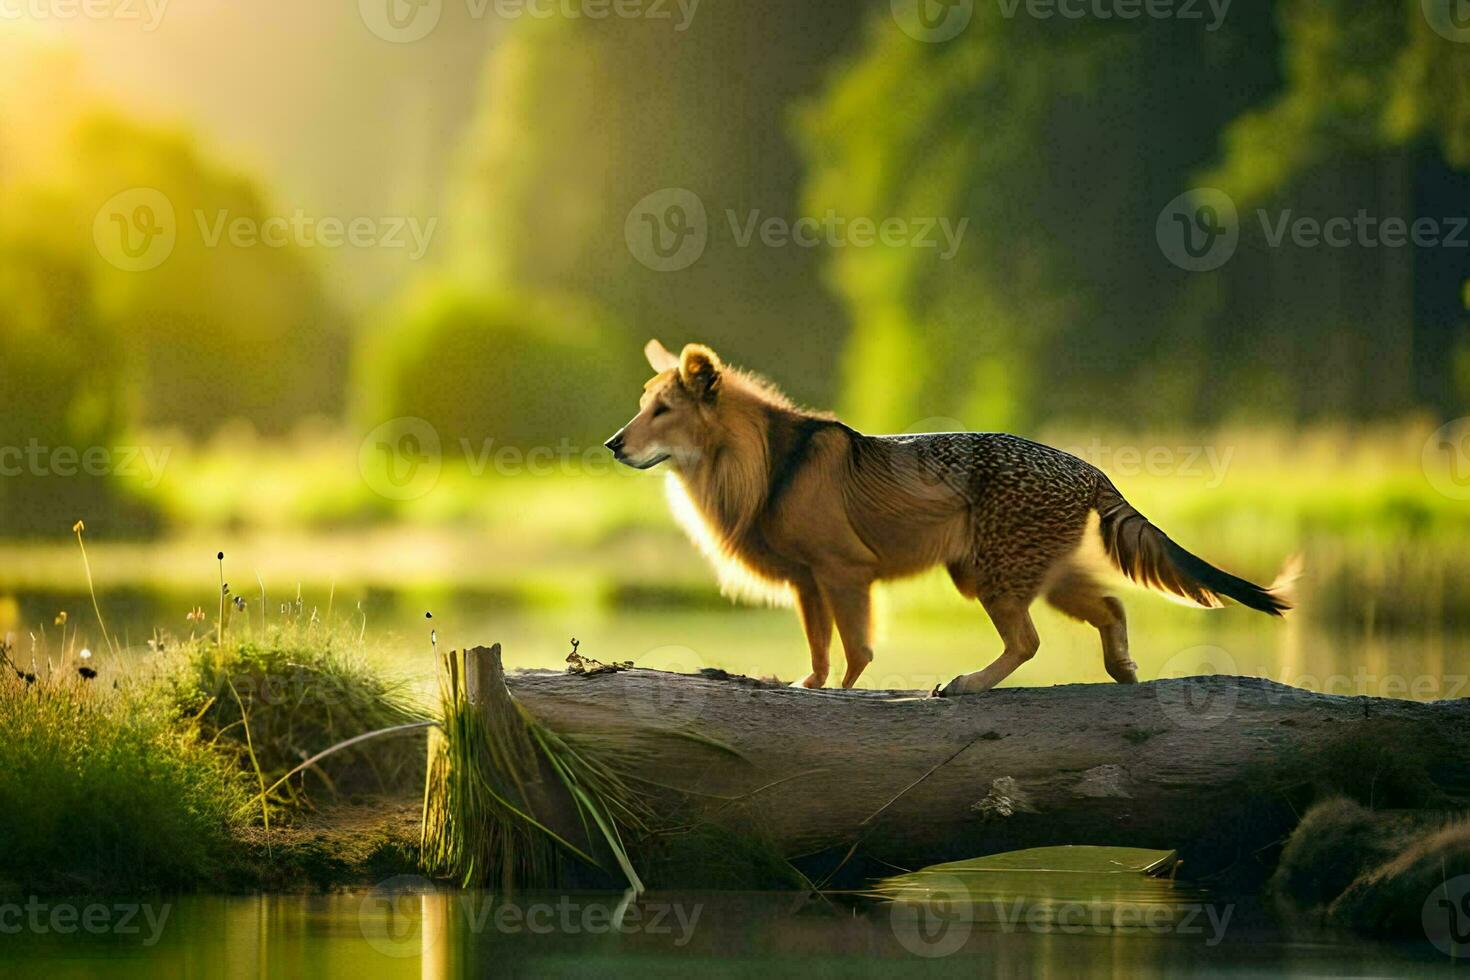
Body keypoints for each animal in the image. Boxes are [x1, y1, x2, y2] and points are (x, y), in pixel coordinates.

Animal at [602, 340, 1293, 693]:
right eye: (643, 404)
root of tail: (1090, 468)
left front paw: (841, 694)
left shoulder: (844, 573)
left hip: (993, 575)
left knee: (1028, 640)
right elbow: (821, 653)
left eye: (663, 409)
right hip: (1030, 570)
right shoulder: (808, 582)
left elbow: (855, 654)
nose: (612, 445)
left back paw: (970, 683)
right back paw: (1121, 671)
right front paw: (808, 686)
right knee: (1110, 606)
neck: (766, 458)